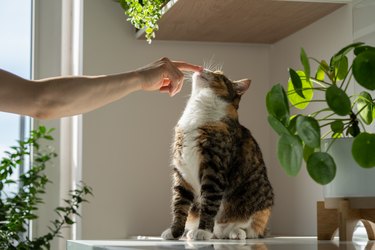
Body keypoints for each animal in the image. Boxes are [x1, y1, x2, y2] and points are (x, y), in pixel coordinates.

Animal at [161, 68, 274, 240]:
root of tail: (221, 232)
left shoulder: (213, 169)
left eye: (219, 74)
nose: (203, 68)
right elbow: (179, 204)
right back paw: (195, 233)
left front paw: (203, 231)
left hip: (261, 207)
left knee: (250, 229)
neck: (197, 114)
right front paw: (174, 232)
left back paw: (234, 233)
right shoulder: (182, 171)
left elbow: (209, 203)